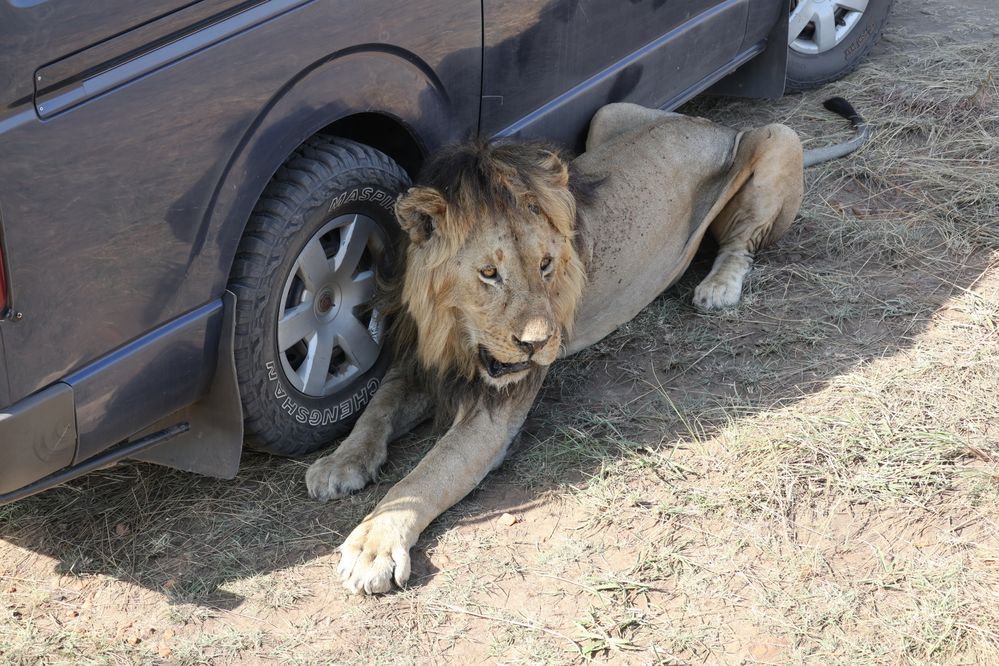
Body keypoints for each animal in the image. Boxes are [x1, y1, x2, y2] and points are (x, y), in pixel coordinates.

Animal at [304, 97, 868, 592]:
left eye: (546, 265)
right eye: (488, 274)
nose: (538, 344)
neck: (457, 334)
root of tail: (716, 126)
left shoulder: (496, 409)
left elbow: (425, 477)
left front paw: (373, 546)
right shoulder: (423, 362)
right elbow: (376, 410)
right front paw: (339, 464)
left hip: (777, 137)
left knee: (740, 243)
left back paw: (718, 288)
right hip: (607, 114)